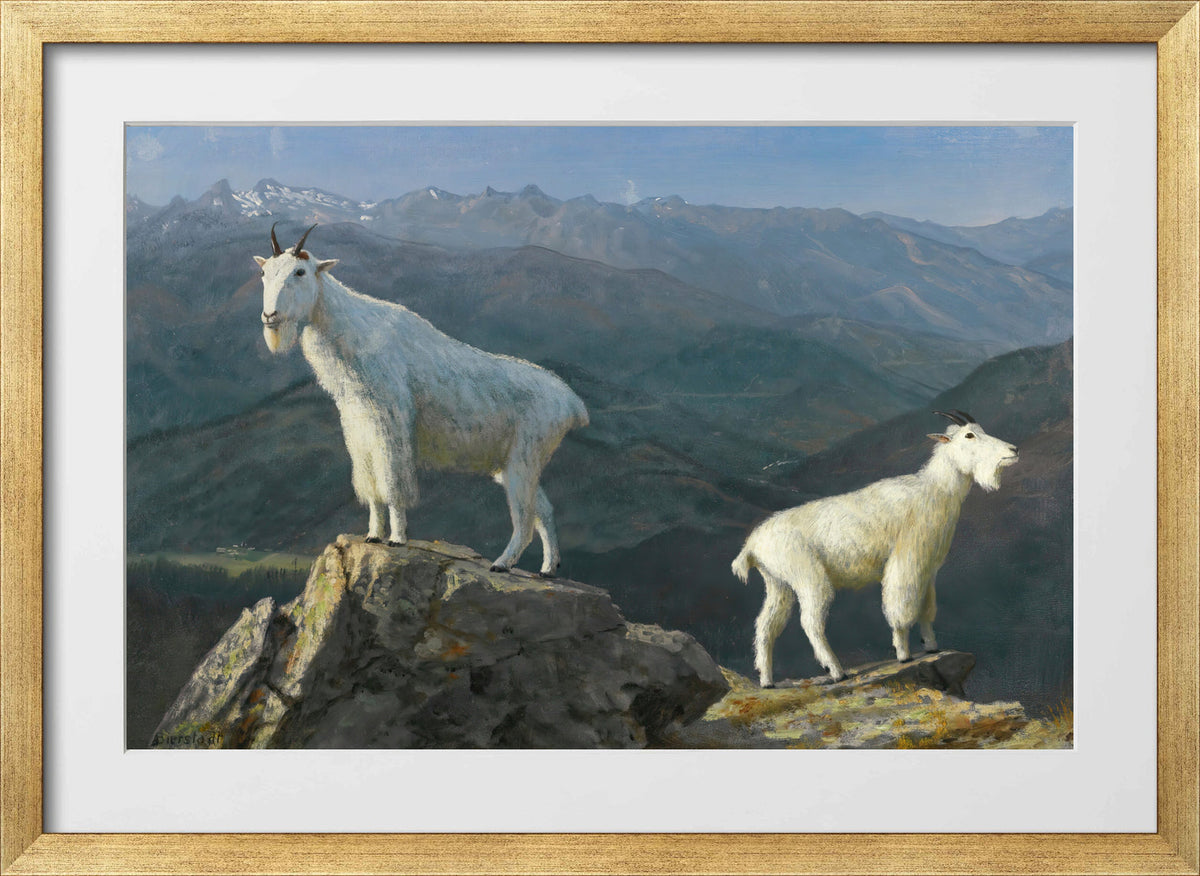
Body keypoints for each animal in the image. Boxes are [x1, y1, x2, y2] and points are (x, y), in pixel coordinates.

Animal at [255, 224, 589, 576]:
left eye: (300, 271)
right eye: (264, 273)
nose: (270, 316)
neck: (354, 335)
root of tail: (572, 404)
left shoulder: (392, 421)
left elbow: (392, 482)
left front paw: (397, 538)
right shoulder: (358, 429)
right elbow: (370, 485)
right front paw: (372, 535)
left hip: (525, 456)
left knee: (523, 518)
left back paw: (502, 563)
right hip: (513, 463)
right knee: (544, 509)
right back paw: (548, 568)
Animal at [732, 410, 1018, 686]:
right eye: (969, 435)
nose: (1013, 450)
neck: (934, 491)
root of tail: (752, 545)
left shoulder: (928, 568)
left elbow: (927, 609)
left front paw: (932, 647)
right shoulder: (906, 559)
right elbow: (901, 608)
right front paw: (904, 654)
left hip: (778, 583)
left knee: (765, 627)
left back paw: (767, 681)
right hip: (808, 579)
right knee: (810, 623)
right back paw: (837, 672)